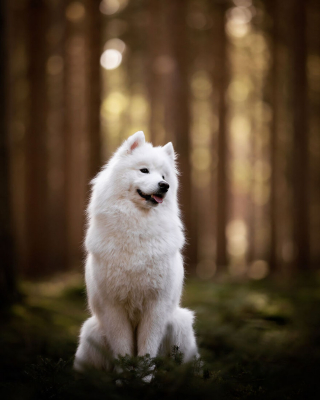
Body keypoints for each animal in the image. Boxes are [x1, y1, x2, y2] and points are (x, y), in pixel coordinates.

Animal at [74, 131, 198, 372]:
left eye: (163, 175)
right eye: (144, 170)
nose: (164, 185)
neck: (138, 227)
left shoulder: (156, 307)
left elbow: (147, 354)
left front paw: (143, 377)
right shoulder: (114, 308)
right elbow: (123, 352)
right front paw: (124, 378)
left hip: (180, 325)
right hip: (92, 333)